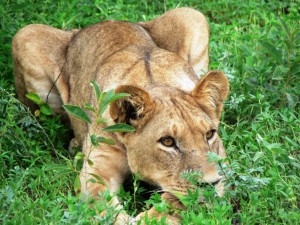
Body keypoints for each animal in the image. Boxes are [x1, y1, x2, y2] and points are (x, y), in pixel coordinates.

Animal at [11, 6, 227, 223]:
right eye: (167, 141)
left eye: (209, 134)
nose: (210, 184)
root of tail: (105, 21)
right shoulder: (97, 166)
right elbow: (100, 200)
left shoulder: (223, 167)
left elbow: (174, 203)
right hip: (25, 35)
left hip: (191, 14)